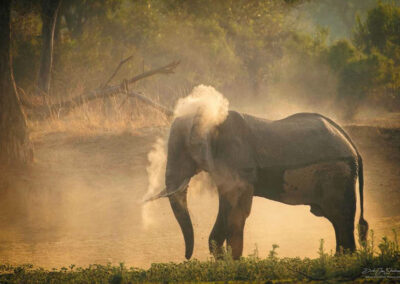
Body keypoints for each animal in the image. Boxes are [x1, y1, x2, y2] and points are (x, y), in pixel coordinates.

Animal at [146, 110, 368, 260]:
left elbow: (238, 212)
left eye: (184, 150)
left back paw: (342, 260)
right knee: (339, 222)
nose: (186, 257)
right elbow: (226, 209)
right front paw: (223, 263)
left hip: (338, 176)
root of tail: (353, 145)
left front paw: (234, 263)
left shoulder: (239, 165)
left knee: (341, 218)